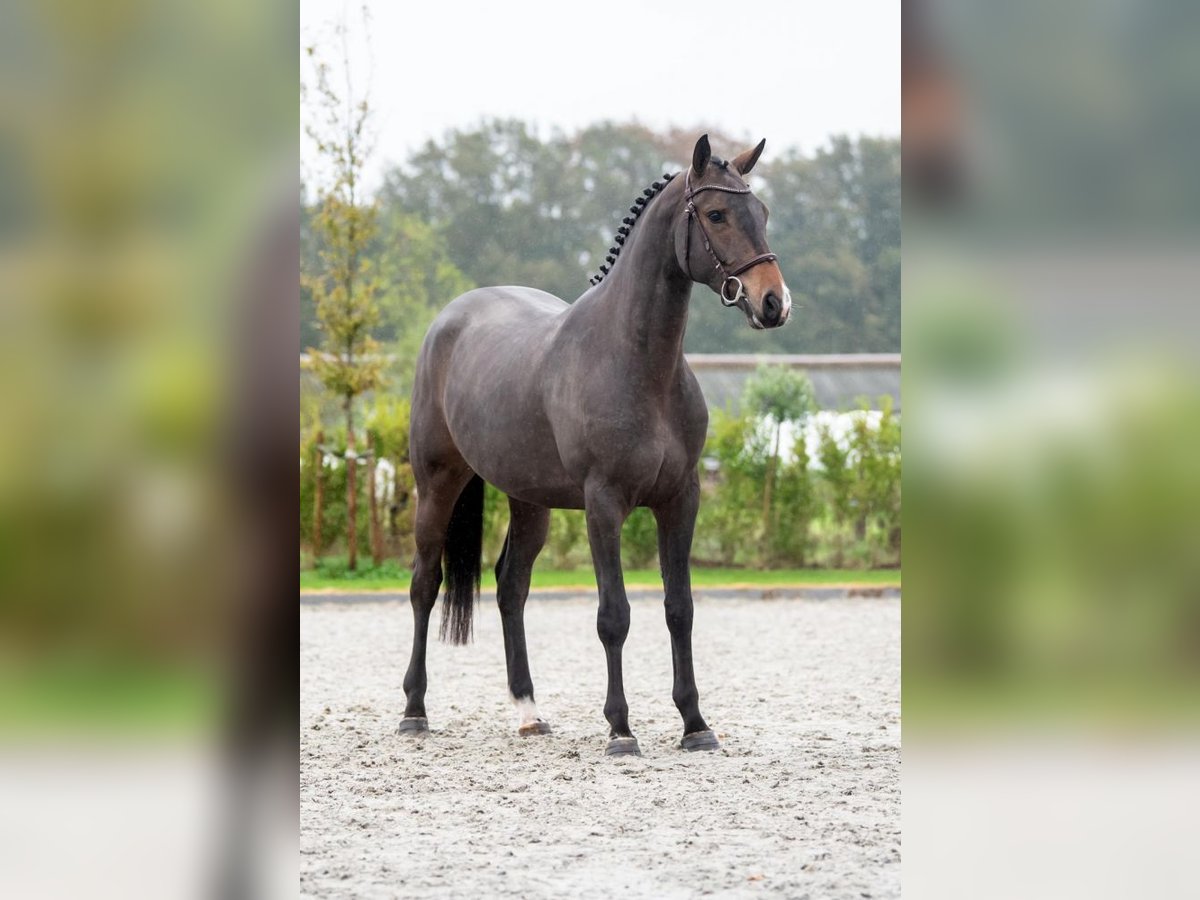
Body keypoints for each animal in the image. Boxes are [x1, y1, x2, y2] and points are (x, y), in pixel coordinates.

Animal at [398, 132, 792, 753]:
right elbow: (615, 616)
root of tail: (449, 320)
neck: (637, 363)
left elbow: (679, 609)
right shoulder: (604, 504)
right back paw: (414, 710)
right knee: (424, 584)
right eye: (716, 214)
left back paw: (528, 711)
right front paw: (621, 727)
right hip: (437, 483)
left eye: (763, 212)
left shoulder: (681, 501)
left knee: (511, 586)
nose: (774, 302)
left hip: (528, 501)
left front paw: (695, 724)